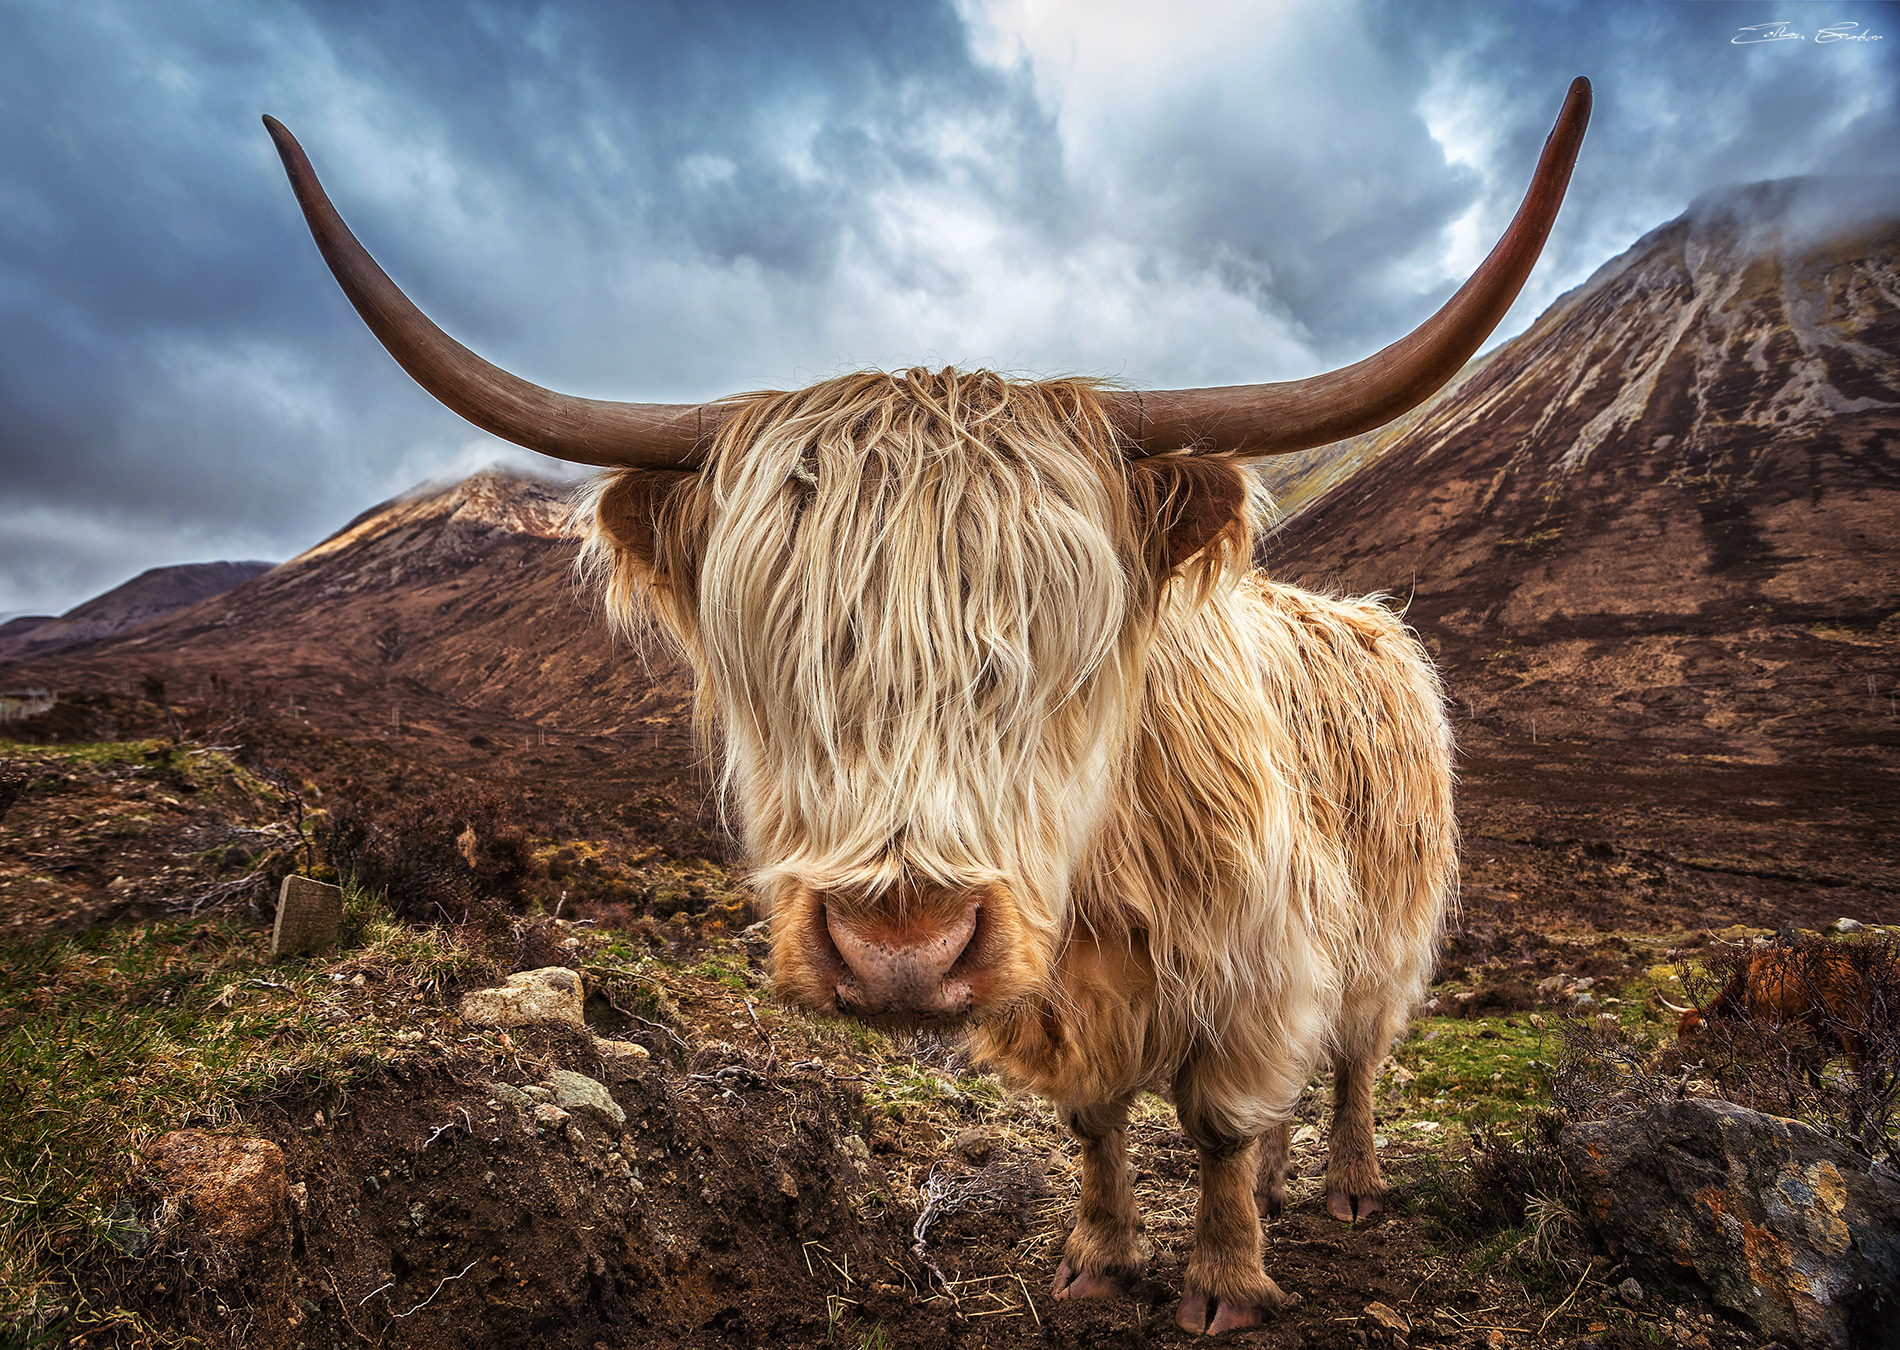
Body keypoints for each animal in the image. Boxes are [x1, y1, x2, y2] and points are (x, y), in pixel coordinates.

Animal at [265, 78, 1591, 1334]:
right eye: (779, 649)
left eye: (1064, 650)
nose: (899, 950)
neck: (1100, 896)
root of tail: (1372, 620)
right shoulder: (1063, 1005)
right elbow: (1096, 1123)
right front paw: (1098, 1260)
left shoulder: (1257, 962)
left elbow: (1216, 1122)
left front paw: (1222, 1282)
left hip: (1387, 923)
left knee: (1358, 1054)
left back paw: (1350, 1185)